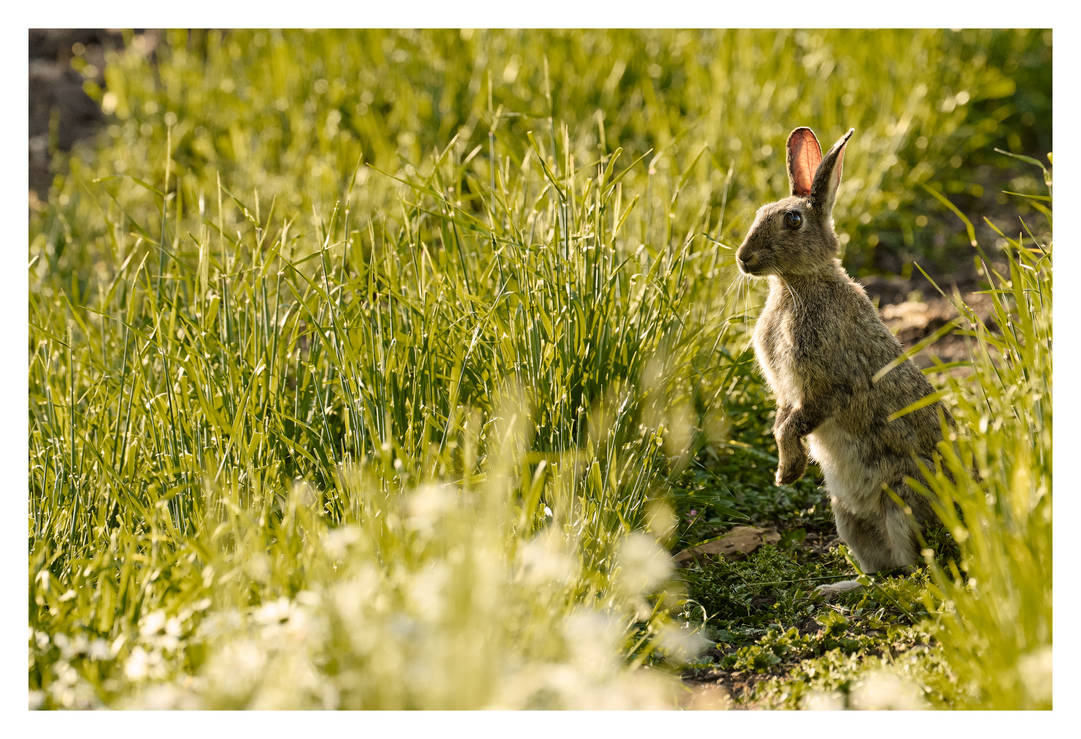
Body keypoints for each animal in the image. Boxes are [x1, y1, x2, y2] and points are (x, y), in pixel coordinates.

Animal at [735, 127, 944, 595]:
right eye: (758, 212)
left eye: (792, 221)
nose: (743, 258)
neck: (796, 284)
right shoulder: (786, 392)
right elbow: (781, 419)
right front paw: (786, 472)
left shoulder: (830, 384)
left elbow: (795, 423)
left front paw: (787, 471)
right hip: (847, 518)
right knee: (884, 568)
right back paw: (836, 586)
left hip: (902, 501)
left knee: (912, 573)